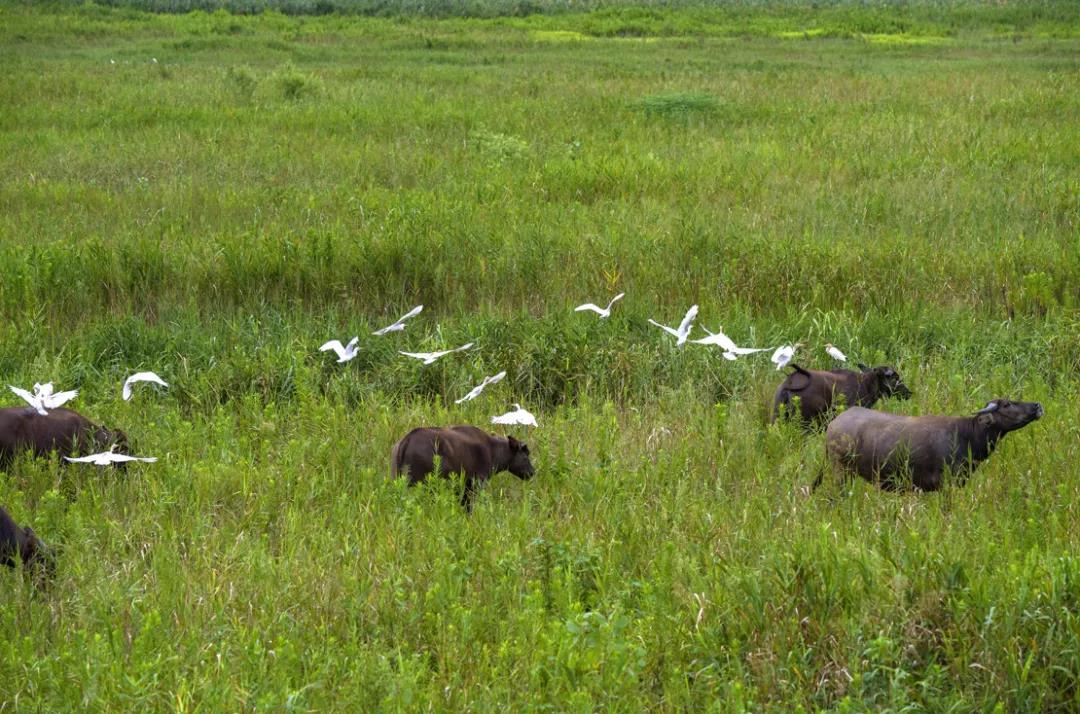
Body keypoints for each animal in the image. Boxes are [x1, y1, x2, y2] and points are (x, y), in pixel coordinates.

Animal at [393, 425, 535, 509]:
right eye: (525, 455)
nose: (532, 472)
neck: (495, 452)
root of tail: (405, 441)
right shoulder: (476, 483)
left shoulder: (462, 486)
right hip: (424, 483)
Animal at [820, 397, 1041, 492]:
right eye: (1007, 404)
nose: (1037, 406)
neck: (965, 436)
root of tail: (833, 424)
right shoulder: (946, 484)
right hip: (841, 471)